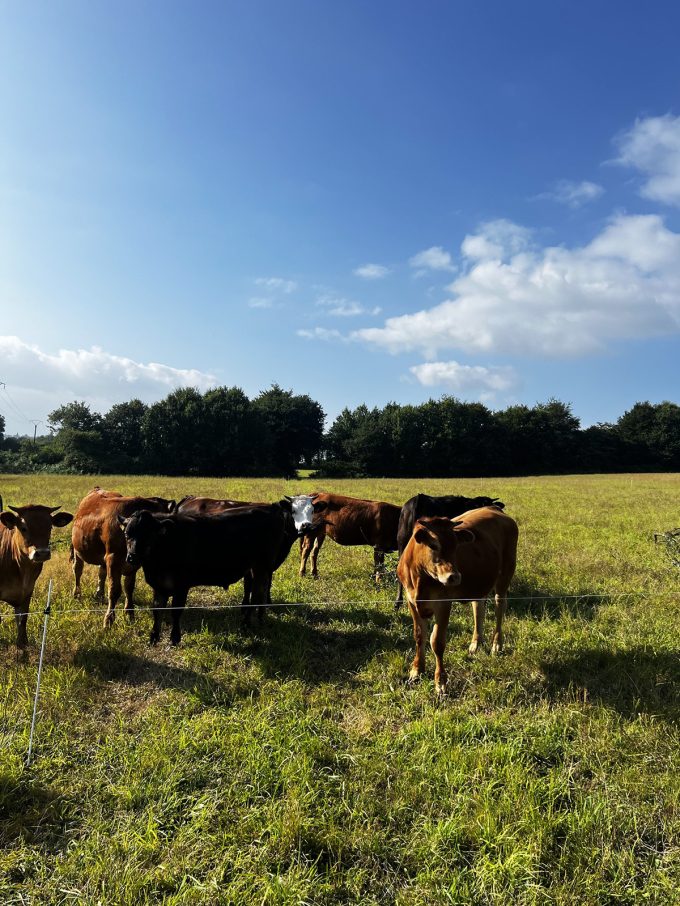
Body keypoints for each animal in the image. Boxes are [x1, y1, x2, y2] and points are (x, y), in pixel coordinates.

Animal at [0, 494, 73, 648]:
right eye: (23, 527)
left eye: (50, 526)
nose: (42, 553)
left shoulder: (27, 591)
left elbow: (22, 621)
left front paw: (22, 645)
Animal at [70, 487, 175, 627]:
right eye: (127, 533)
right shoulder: (113, 558)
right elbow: (114, 590)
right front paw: (109, 619)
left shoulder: (133, 564)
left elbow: (129, 588)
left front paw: (129, 614)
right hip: (77, 550)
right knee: (77, 570)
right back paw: (76, 594)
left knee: (101, 573)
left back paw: (99, 594)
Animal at [119, 498, 309, 645]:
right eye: (127, 534)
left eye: (149, 535)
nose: (132, 557)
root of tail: (270, 508)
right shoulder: (159, 585)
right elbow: (157, 610)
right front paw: (154, 637)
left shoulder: (182, 585)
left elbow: (175, 611)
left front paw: (175, 638)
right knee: (259, 593)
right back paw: (258, 619)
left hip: (262, 566)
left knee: (256, 594)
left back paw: (247, 623)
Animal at [397, 506, 518, 695]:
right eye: (434, 545)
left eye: (456, 546)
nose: (454, 577)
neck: (420, 577)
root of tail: (494, 508)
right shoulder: (412, 603)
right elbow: (419, 635)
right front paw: (417, 670)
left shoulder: (444, 604)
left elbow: (437, 642)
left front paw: (440, 681)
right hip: (479, 583)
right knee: (478, 608)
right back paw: (476, 643)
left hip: (505, 573)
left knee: (500, 606)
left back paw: (496, 644)